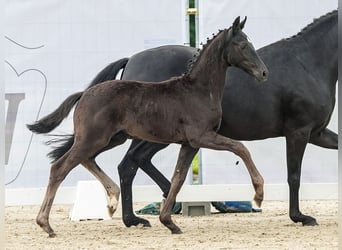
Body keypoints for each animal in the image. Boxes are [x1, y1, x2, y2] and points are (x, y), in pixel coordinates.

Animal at [28, 16, 268, 235]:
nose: (264, 72)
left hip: (111, 138)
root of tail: (84, 94)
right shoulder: (201, 136)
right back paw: (45, 224)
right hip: (94, 138)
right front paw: (258, 194)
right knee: (60, 168)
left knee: (88, 160)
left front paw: (169, 222)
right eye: (243, 45)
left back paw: (113, 201)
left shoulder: (189, 144)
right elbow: (240, 148)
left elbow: (178, 178)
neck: (198, 91)